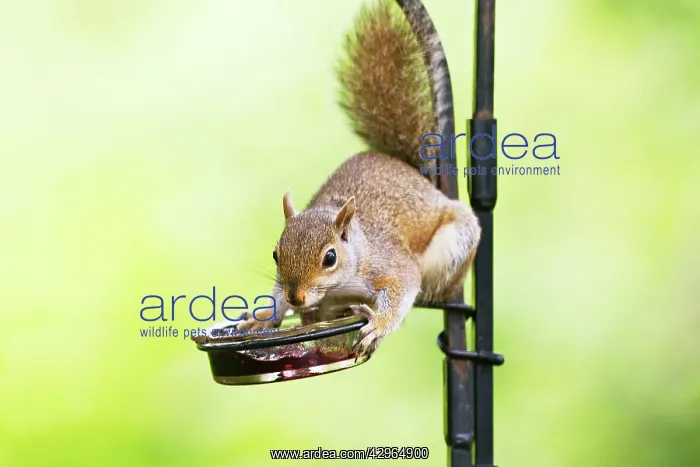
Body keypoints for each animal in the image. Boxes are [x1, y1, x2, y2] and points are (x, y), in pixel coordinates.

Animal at [236, 0, 481, 357]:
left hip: (455, 248)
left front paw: (378, 324)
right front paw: (265, 314)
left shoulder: (390, 265)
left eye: (330, 258)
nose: (296, 296)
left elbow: (403, 286)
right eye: (275, 254)